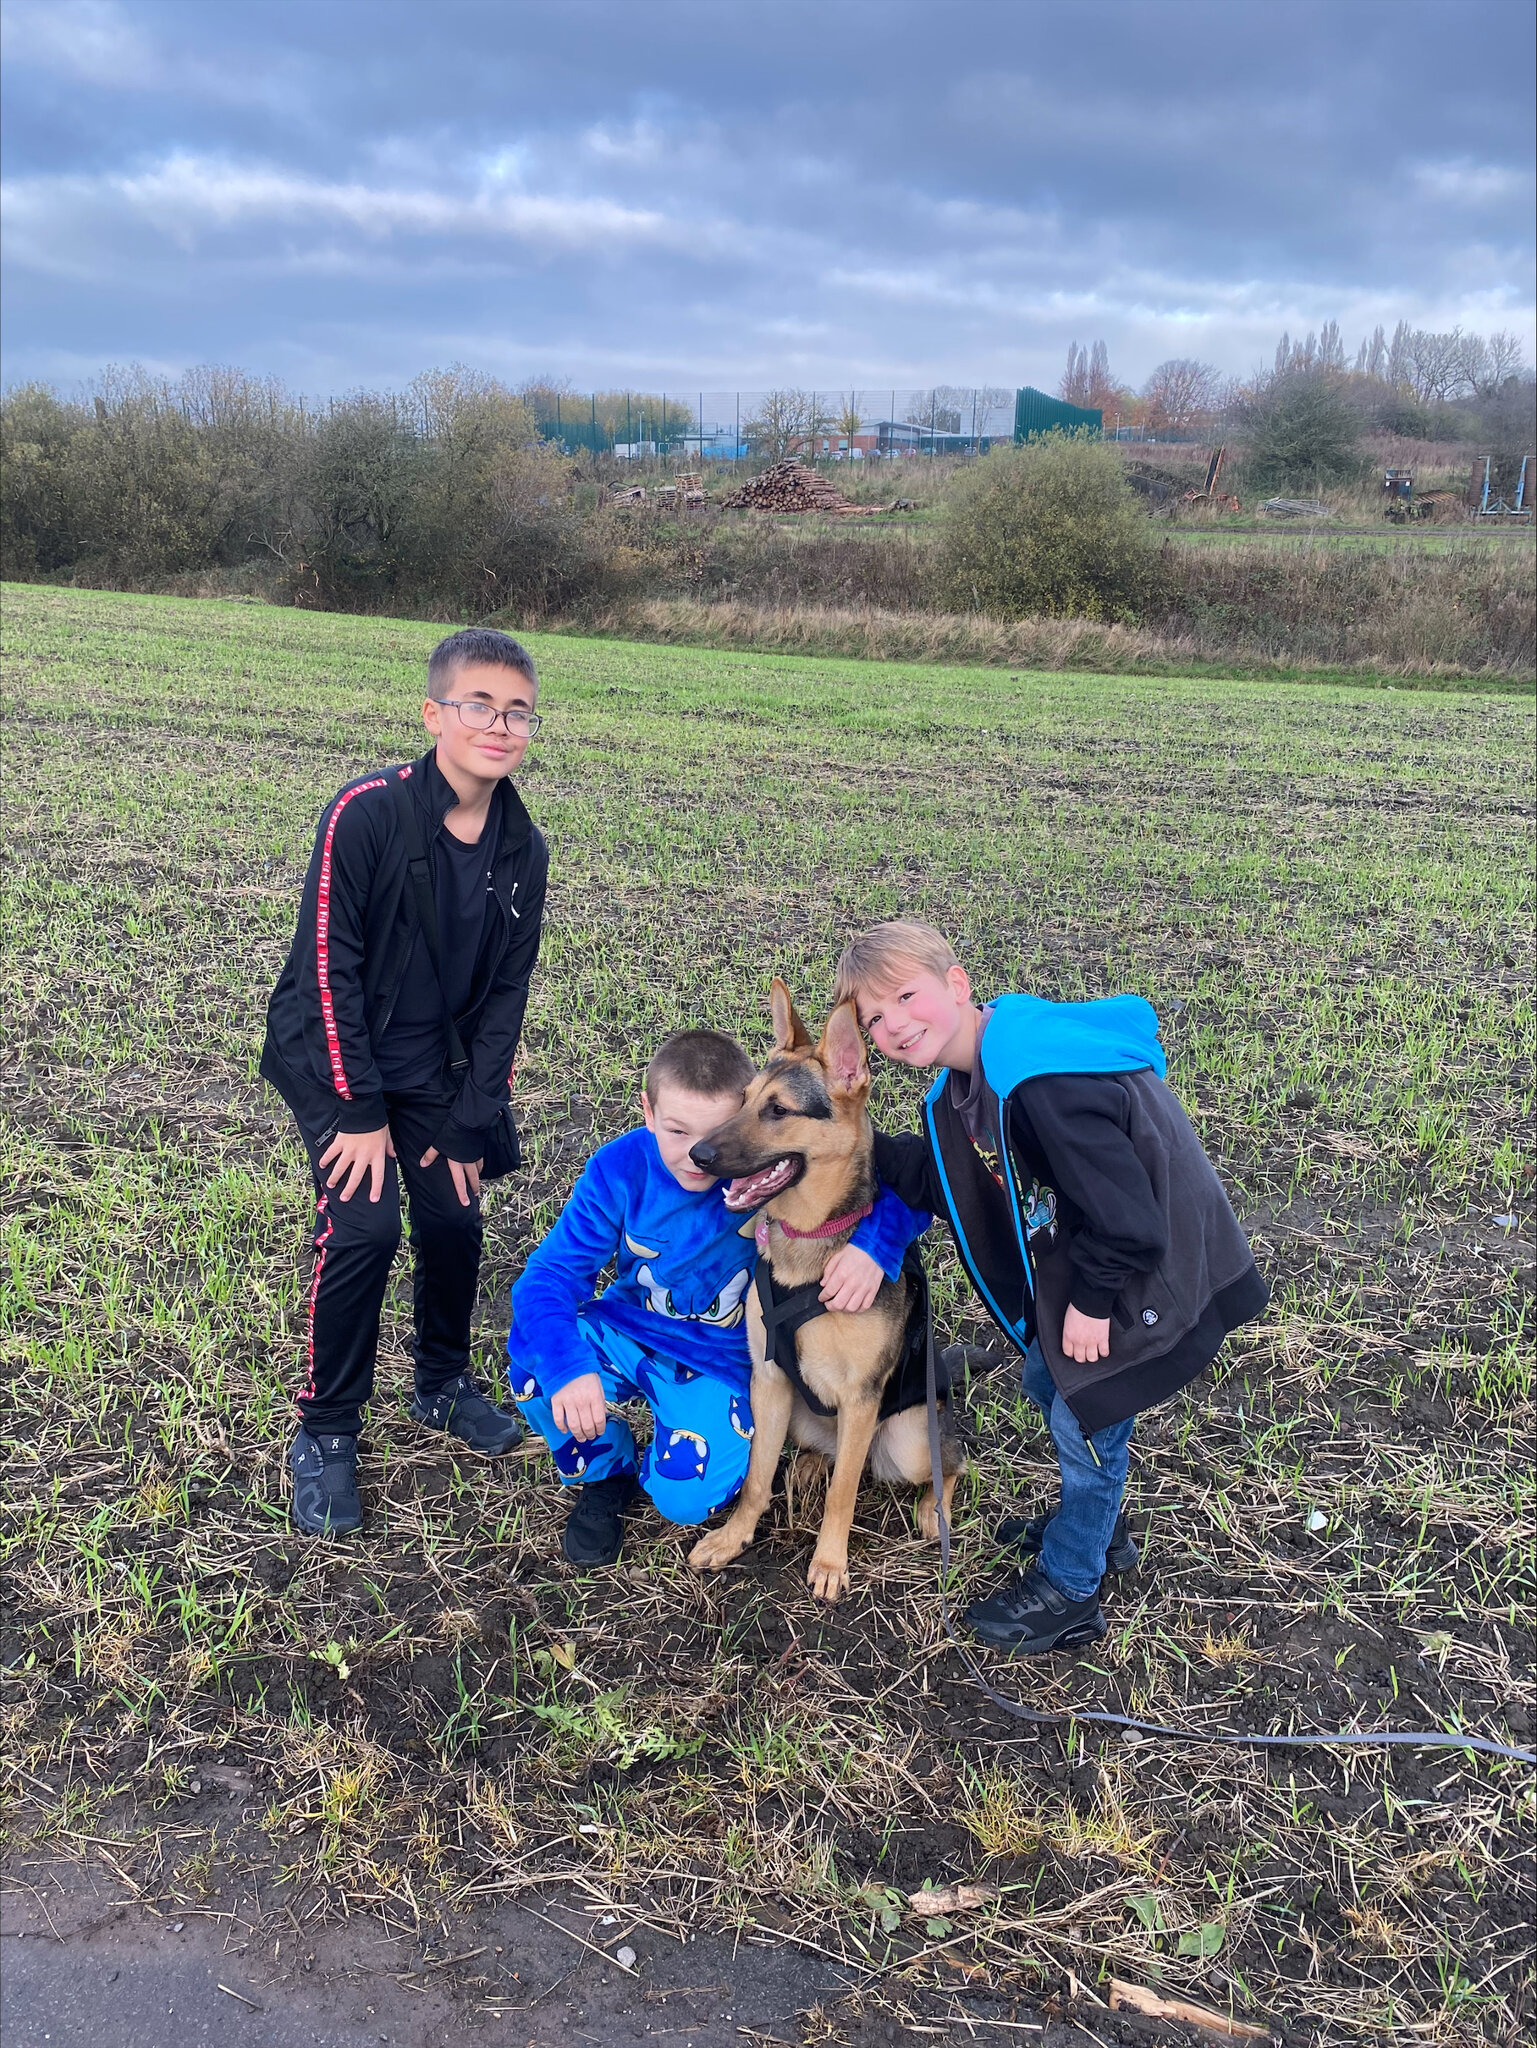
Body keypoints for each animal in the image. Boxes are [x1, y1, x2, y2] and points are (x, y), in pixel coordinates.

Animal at [684, 983, 963, 1605]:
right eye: (743, 1099)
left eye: (779, 1110)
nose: (697, 1156)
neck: (812, 1239)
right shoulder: (767, 1379)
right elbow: (756, 1478)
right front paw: (734, 1537)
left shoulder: (860, 1398)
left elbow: (844, 1494)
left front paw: (830, 1562)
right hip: (795, 1411)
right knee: (826, 1455)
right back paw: (811, 1464)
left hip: (908, 1441)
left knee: (949, 1464)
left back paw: (933, 1509)